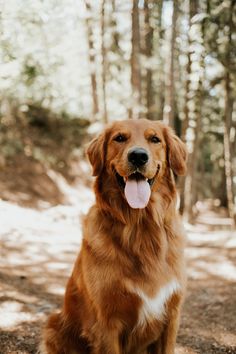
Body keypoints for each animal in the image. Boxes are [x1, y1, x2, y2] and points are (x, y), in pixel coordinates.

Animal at [41, 119, 188, 354]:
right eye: (119, 138)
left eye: (155, 139)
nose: (138, 156)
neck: (140, 227)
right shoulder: (106, 323)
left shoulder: (171, 317)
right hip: (53, 326)